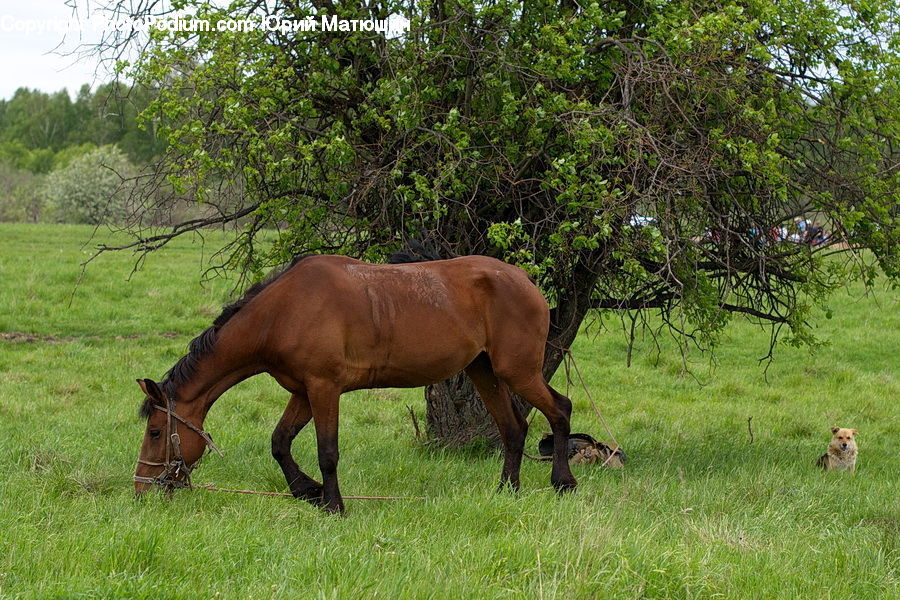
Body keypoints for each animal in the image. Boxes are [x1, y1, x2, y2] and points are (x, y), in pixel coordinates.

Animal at [134, 253, 576, 510]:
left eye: (155, 432)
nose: (141, 488)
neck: (283, 312)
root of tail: (525, 279)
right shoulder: (303, 390)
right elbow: (280, 443)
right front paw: (307, 491)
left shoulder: (324, 388)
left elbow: (327, 451)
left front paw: (333, 504)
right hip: (485, 371)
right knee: (513, 428)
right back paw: (507, 491)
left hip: (517, 371)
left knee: (559, 410)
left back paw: (563, 482)